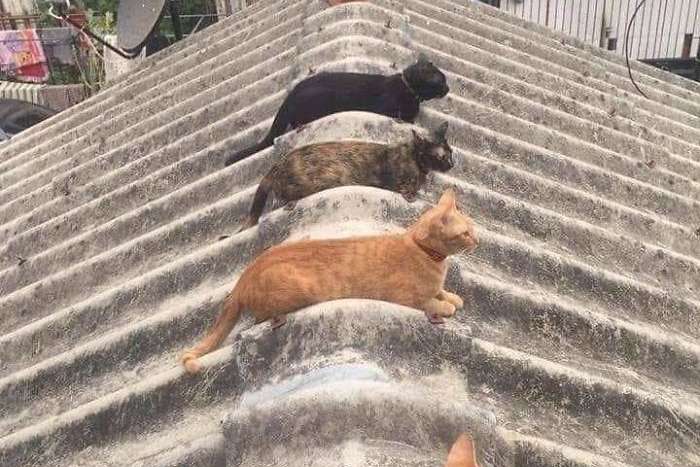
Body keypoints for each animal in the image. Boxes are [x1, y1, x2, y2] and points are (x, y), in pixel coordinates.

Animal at [181, 189, 477, 374]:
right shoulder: (405, 298)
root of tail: (243, 279)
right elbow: (432, 302)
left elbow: (443, 293)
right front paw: (447, 305)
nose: (477, 240)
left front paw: (452, 296)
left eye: (472, 227)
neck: (424, 251)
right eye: (464, 233)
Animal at [239, 121, 453, 230]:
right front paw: (413, 193)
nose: (452, 164)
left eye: (451, 153)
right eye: (441, 156)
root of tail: (275, 167)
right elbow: (408, 189)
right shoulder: (398, 182)